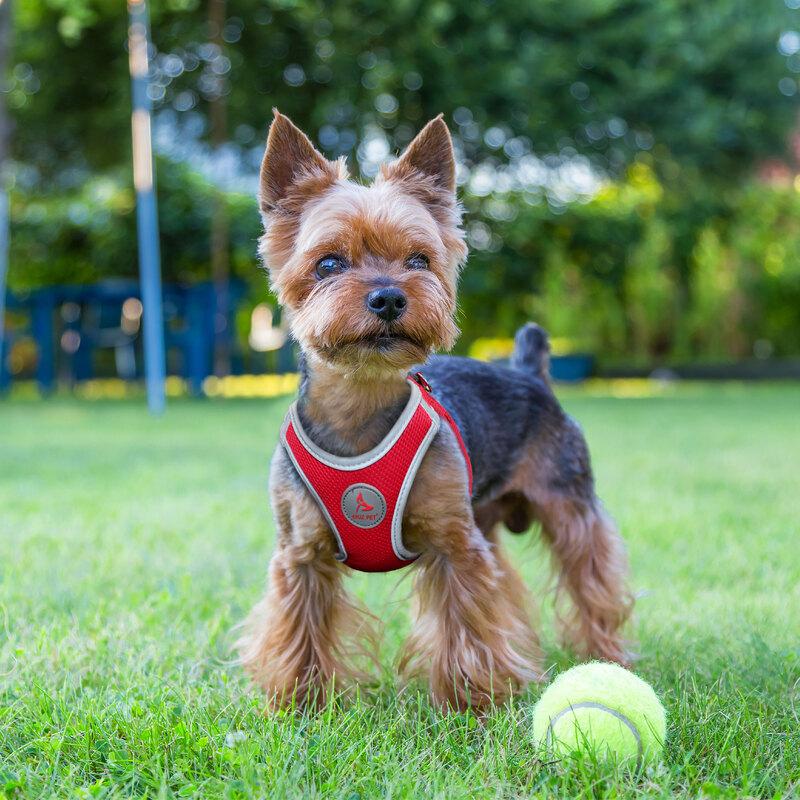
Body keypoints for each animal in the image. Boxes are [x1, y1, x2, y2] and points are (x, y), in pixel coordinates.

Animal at [236, 109, 632, 708]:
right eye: (328, 263)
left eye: (419, 259)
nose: (389, 297)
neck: (361, 403)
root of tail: (527, 370)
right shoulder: (299, 554)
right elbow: (299, 627)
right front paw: (302, 702)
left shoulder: (454, 545)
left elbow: (465, 623)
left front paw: (470, 702)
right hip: (486, 517)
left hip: (567, 503)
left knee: (592, 576)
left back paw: (605, 655)